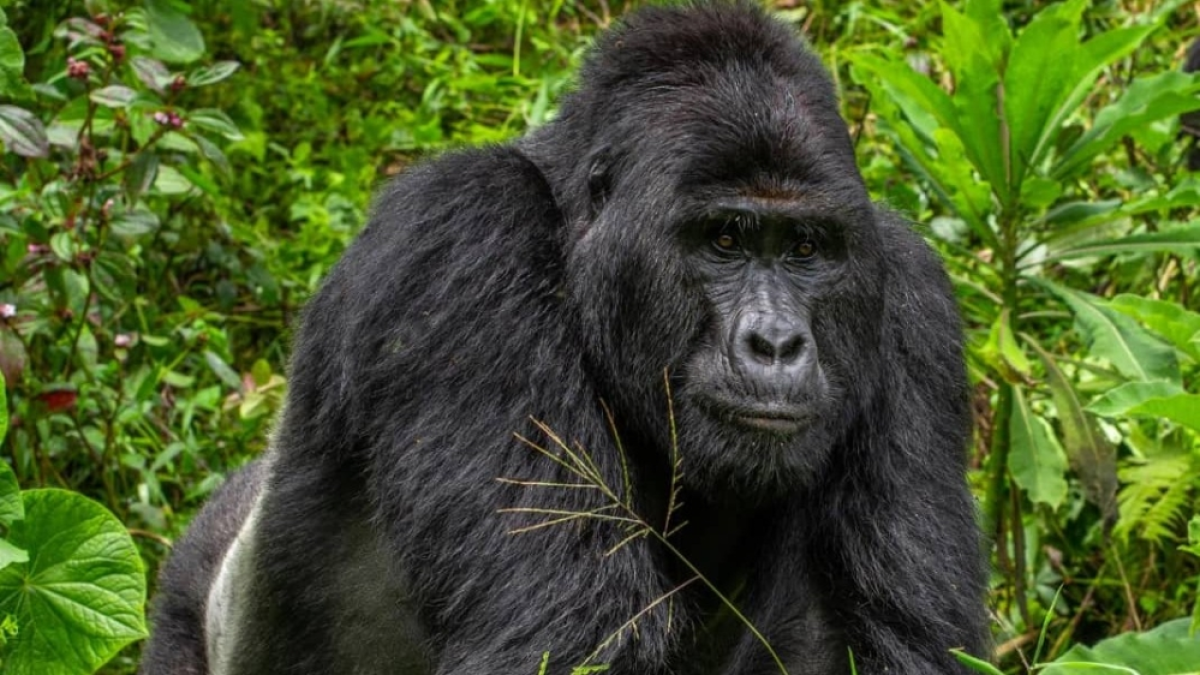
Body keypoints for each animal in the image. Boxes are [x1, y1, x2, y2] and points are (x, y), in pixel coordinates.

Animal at [138, 2, 984, 667]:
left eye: (806, 248)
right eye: (724, 240)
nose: (775, 344)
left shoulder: (911, 300)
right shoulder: (466, 237)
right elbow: (567, 638)